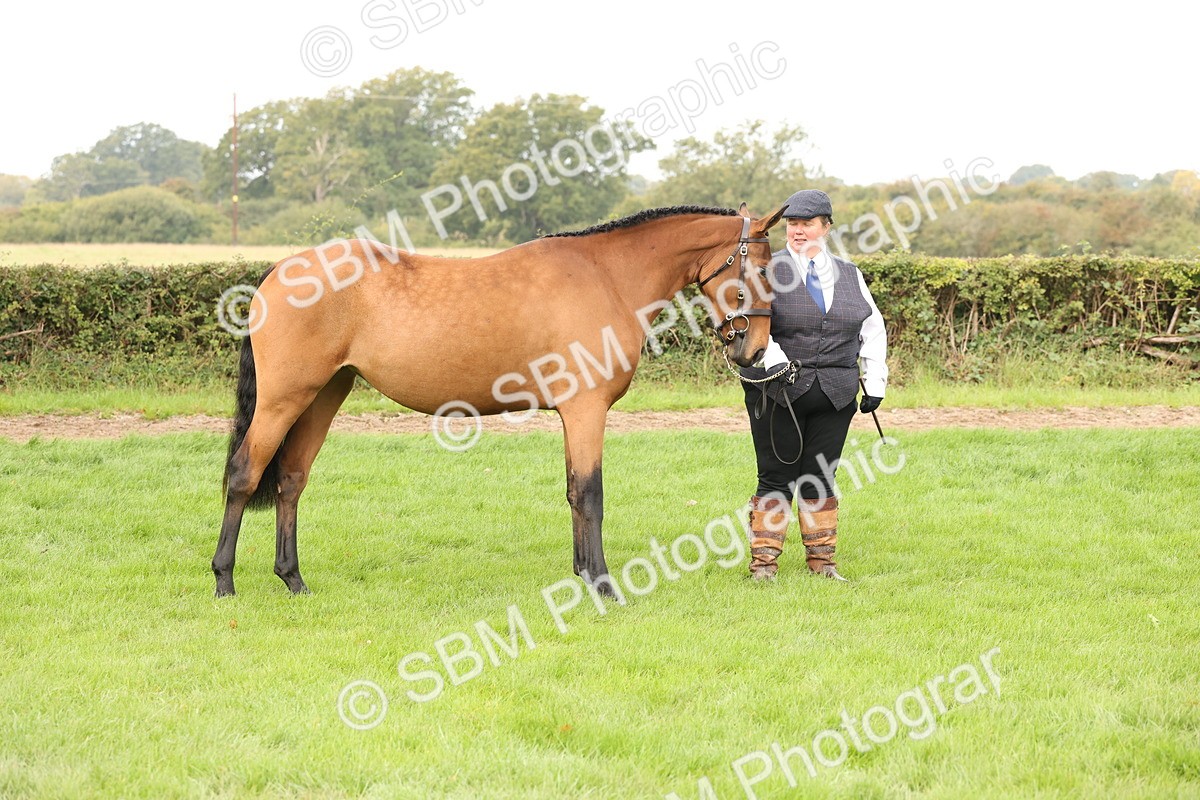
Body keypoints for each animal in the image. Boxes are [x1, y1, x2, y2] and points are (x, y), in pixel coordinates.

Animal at [212, 203, 787, 597]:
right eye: (763, 269)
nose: (755, 349)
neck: (608, 276)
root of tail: (276, 274)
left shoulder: (572, 414)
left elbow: (573, 492)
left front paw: (582, 574)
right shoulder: (587, 410)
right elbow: (591, 495)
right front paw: (603, 584)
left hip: (324, 396)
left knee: (290, 480)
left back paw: (293, 580)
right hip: (284, 400)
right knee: (244, 473)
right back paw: (224, 581)